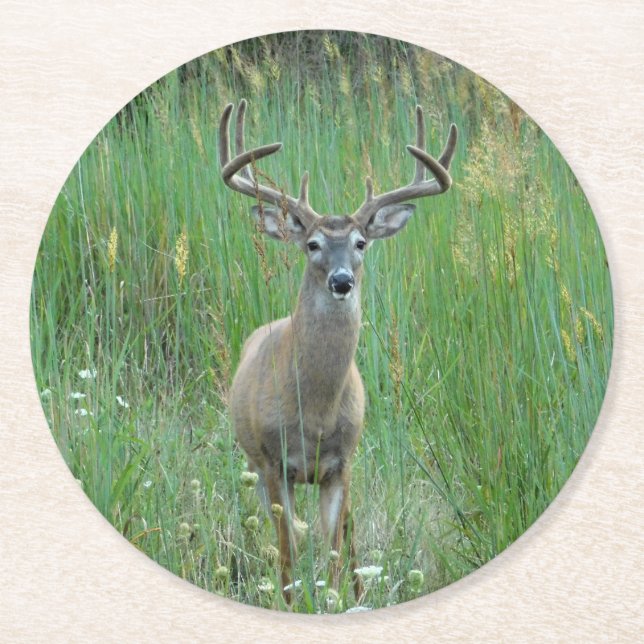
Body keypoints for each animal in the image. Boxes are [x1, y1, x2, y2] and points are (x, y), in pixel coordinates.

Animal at [219, 99, 457, 604]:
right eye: (312, 244)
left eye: (360, 242)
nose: (342, 280)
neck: (315, 412)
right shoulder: (275, 463)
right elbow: (288, 551)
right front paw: (292, 603)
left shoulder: (340, 463)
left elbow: (332, 547)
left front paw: (336, 600)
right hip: (253, 464)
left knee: (350, 530)